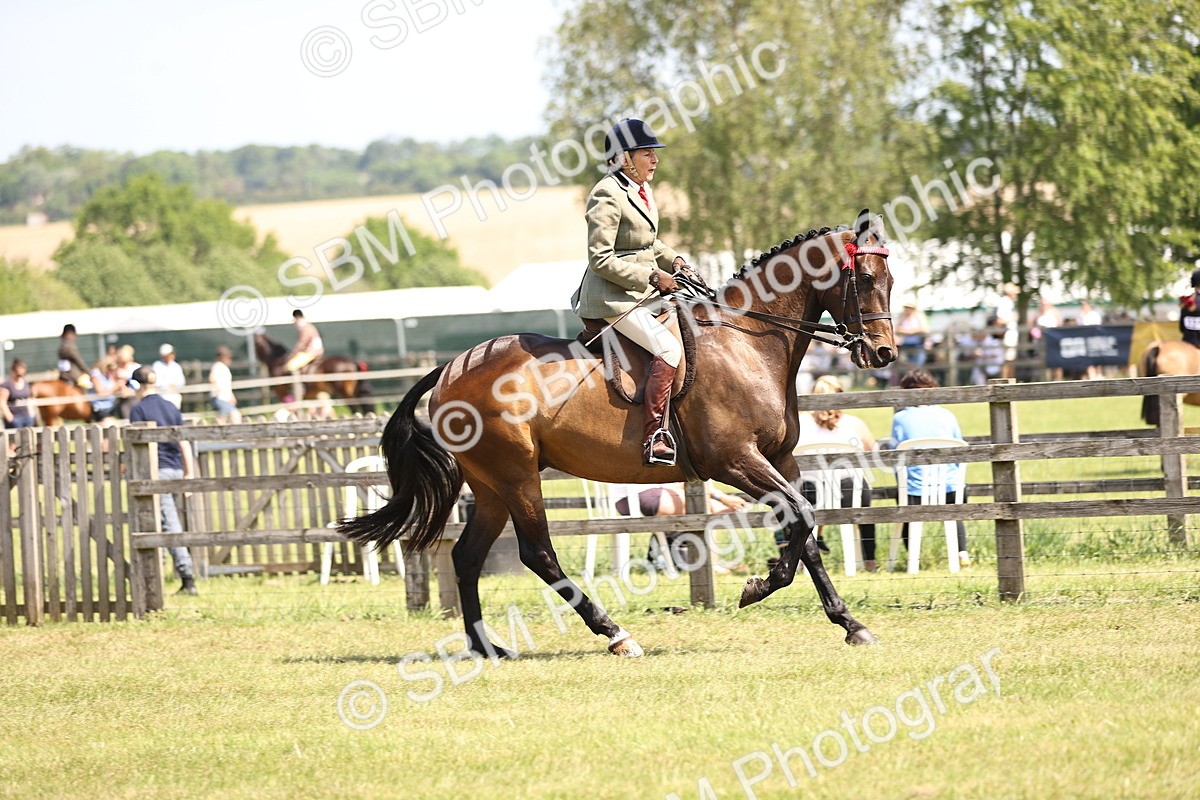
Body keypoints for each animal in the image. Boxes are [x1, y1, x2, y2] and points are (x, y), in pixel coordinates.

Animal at [340, 210, 897, 658]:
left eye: (891, 278)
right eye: (867, 277)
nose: (883, 353)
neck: (747, 343)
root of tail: (451, 367)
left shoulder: (781, 461)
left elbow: (806, 529)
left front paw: (850, 623)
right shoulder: (735, 461)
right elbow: (800, 518)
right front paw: (758, 587)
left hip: (491, 485)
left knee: (467, 557)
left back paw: (486, 647)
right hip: (518, 477)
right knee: (537, 554)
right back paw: (615, 634)